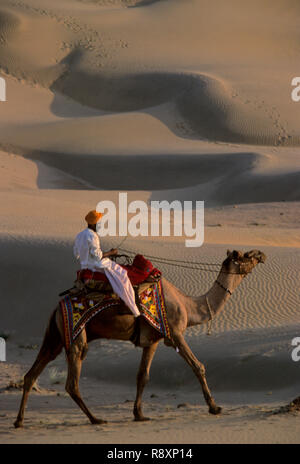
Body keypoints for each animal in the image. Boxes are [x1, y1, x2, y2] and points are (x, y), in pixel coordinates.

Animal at [15, 250, 266, 428]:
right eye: (244, 255)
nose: (261, 254)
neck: (189, 305)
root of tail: (57, 307)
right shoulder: (175, 334)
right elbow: (198, 366)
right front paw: (215, 407)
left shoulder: (152, 340)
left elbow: (142, 376)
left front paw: (139, 414)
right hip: (77, 335)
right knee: (71, 382)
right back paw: (96, 419)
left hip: (55, 336)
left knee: (32, 374)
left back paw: (19, 421)